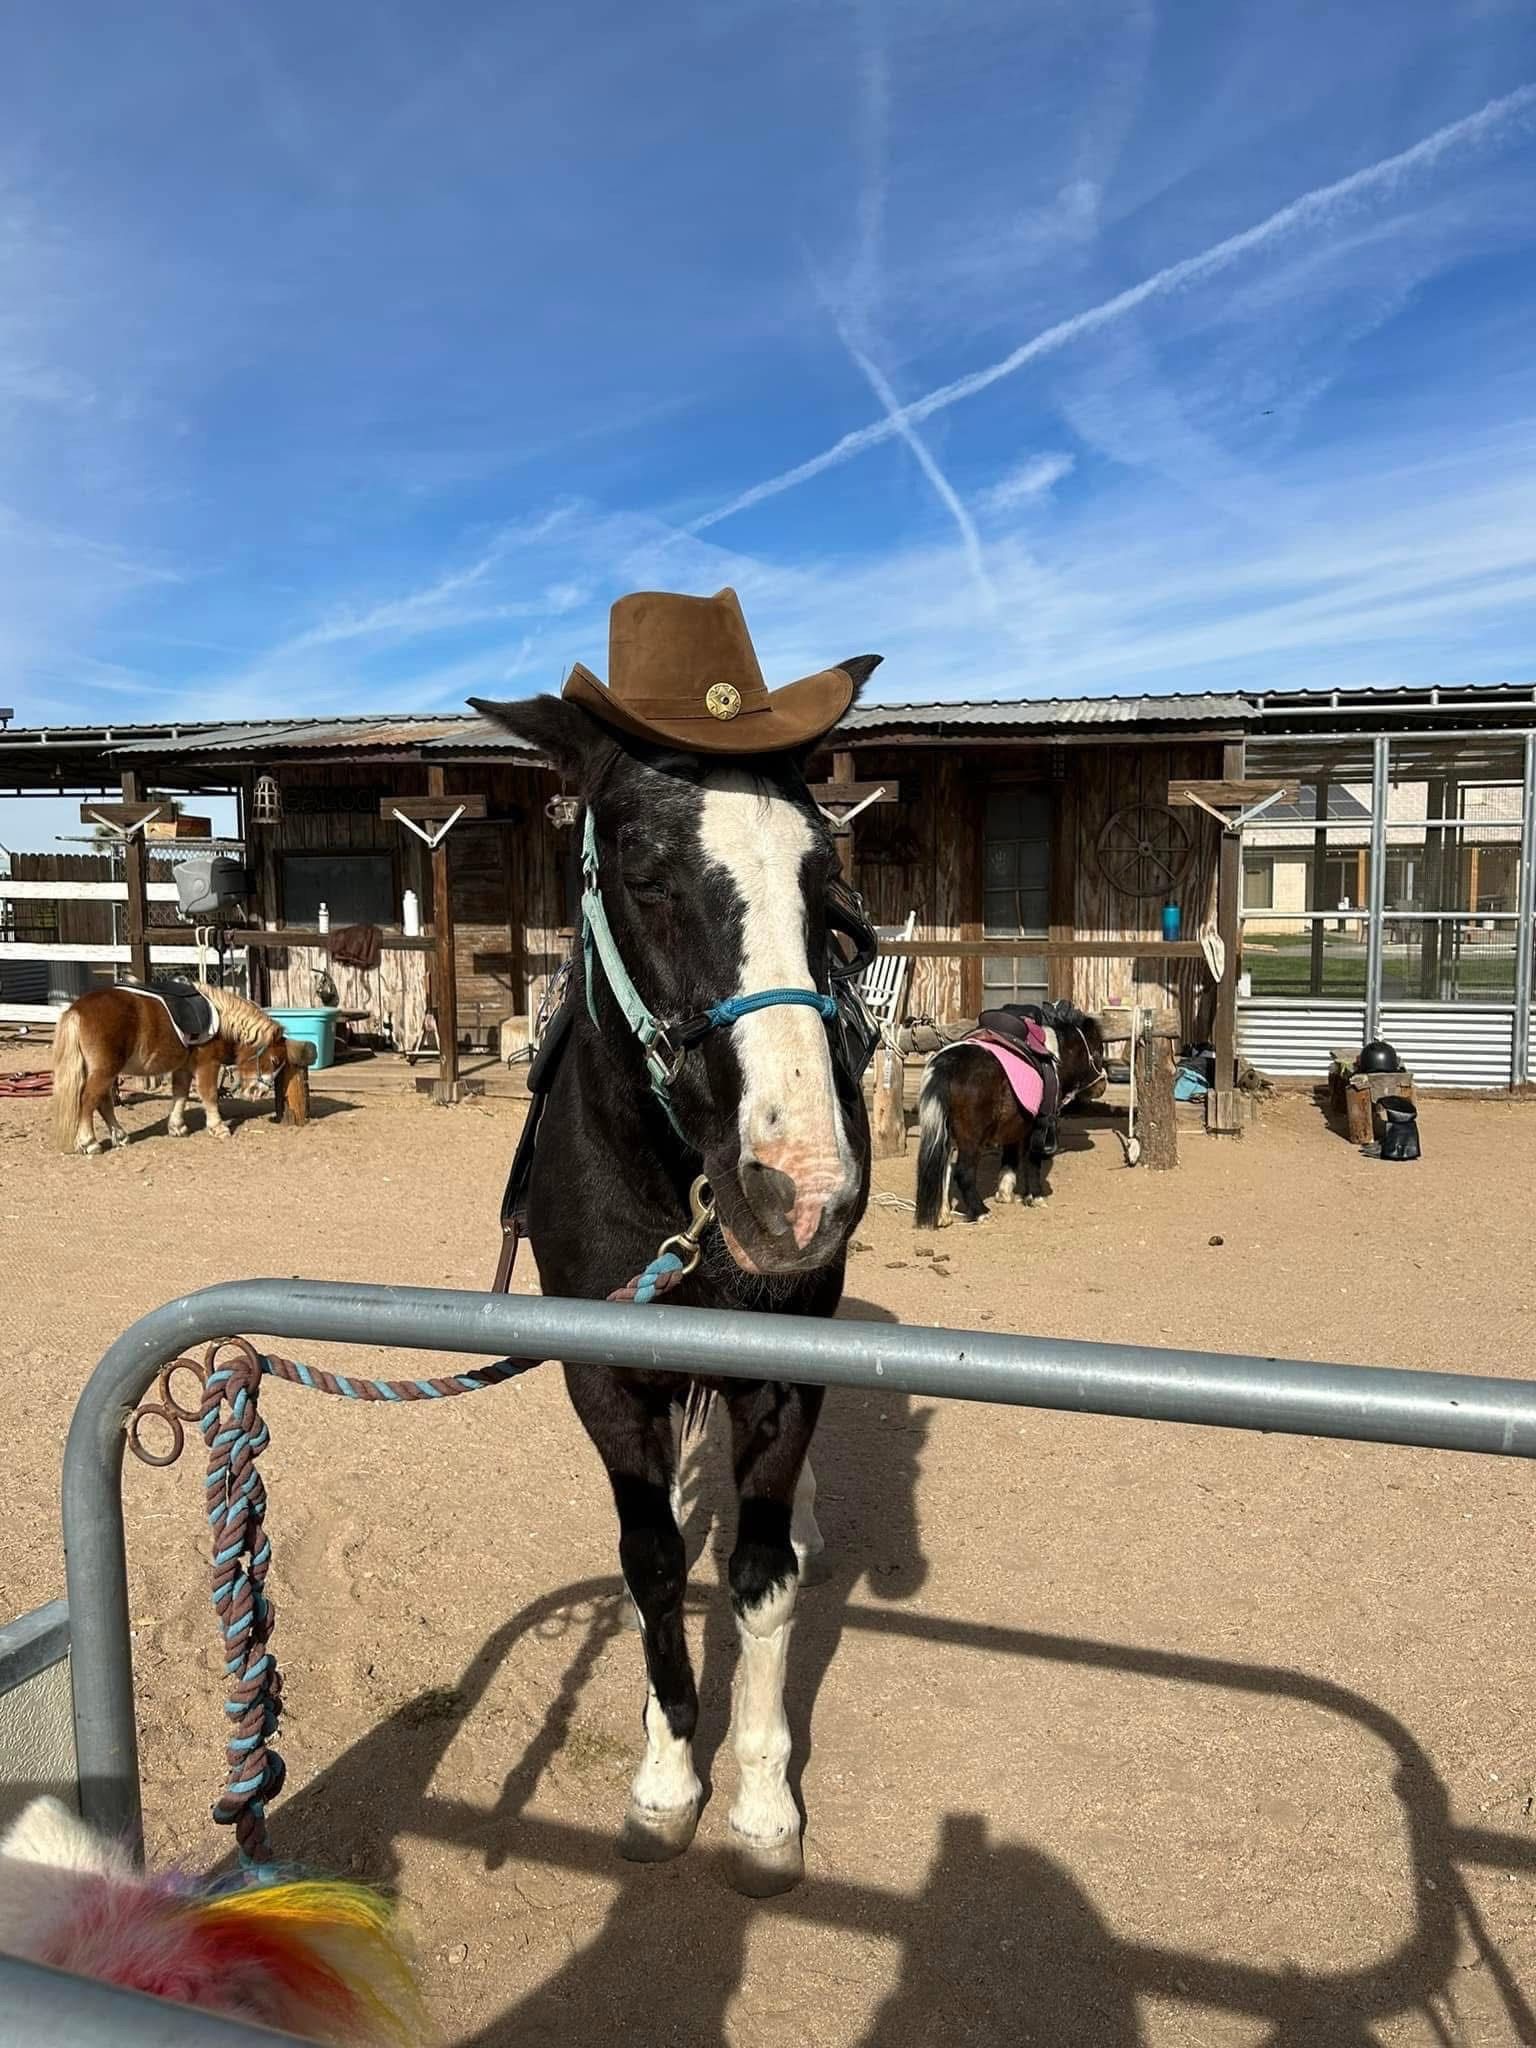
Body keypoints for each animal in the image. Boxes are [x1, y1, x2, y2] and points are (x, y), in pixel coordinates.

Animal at [51, 981, 291, 1155]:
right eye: (274, 1060)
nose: (260, 1092)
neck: (222, 1021)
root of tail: (76, 1010)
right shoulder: (208, 1064)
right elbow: (209, 1095)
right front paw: (218, 1127)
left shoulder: (183, 1067)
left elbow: (180, 1094)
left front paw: (177, 1127)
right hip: (105, 1070)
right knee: (88, 1100)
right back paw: (89, 1142)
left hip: (106, 1072)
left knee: (103, 1102)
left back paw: (120, 1136)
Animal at [470, 663, 879, 1897]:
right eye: (647, 873)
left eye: (825, 882)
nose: (801, 1190)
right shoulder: (608, 1384)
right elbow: (651, 1568)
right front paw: (664, 1778)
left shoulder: (781, 1381)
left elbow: (760, 1578)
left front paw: (760, 1804)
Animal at [914, 1001, 1106, 1227]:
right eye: (1098, 1051)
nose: (1101, 1086)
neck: (1054, 1057)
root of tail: (948, 1063)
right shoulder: (1037, 1126)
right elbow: (1033, 1161)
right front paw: (1035, 1197)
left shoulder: (1015, 1124)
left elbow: (1010, 1157)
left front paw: (1005, 1193)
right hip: (970, 1137)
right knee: (963, 1172)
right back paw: (981, 1212)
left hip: (947, 1133)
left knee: (943, 1168)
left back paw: (943, 1215)